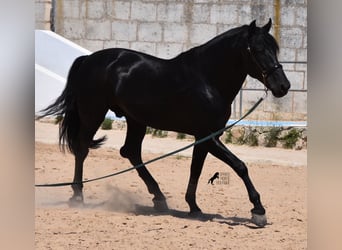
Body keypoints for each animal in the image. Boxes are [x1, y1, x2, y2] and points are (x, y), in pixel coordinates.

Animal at [37, 19, 290, 227]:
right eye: (257, 50)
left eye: (274, 49)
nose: (283, 86)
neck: (207, 79)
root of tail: (89, 59)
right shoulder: (208, 135)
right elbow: (240, 166)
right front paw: (258, 210)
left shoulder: (205, 137)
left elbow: (196, 169)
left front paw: (194, 207)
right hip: (93, 113)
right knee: (82, 149)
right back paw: (77, 196)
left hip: (136, 120)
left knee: (130, 151)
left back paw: (159, 198)